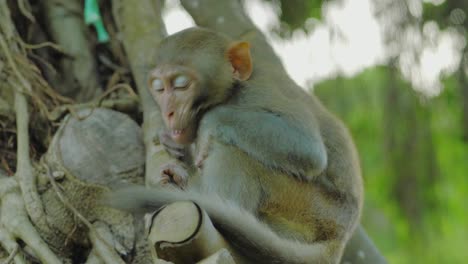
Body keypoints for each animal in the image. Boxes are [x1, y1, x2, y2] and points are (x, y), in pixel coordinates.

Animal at [105, 27, 362, 264]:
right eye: (158, 88)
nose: (168, 112)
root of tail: (339, 239)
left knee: (233, 151)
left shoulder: (261, 91)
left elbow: (308, 150)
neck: (232, 91)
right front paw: (171, 142)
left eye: (180, 85)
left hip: (307, 207)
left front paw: (208, 122)